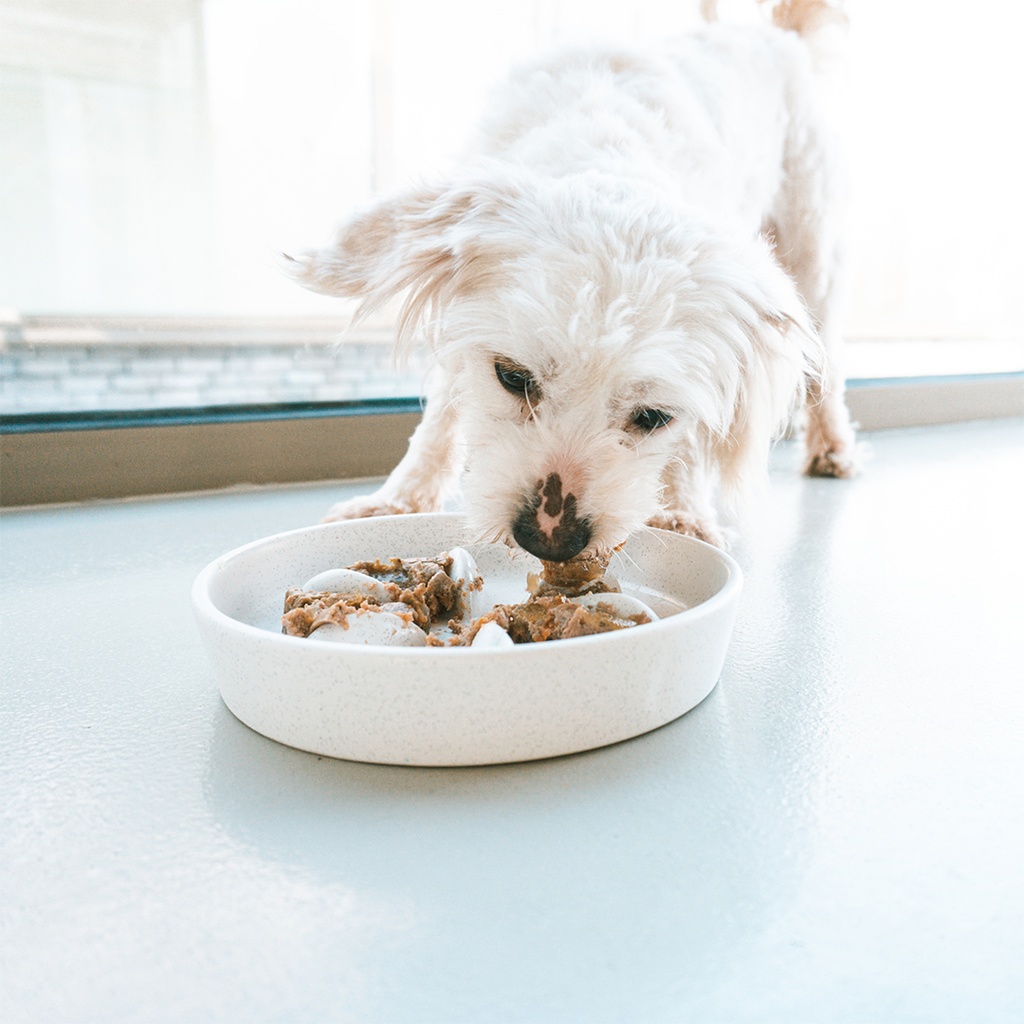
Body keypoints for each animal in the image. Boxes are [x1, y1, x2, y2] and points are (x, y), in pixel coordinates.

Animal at [286, 0, 856, 561]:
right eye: (512, 377)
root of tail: (779, 34)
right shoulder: (467, 331)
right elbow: (442, 420)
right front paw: (400, 500)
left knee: (826, 373)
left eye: (653, 417)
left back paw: (832, 448)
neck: (607, 148)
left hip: (812, 260)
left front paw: (683, 516)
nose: (549, 538)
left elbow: (690, 441)